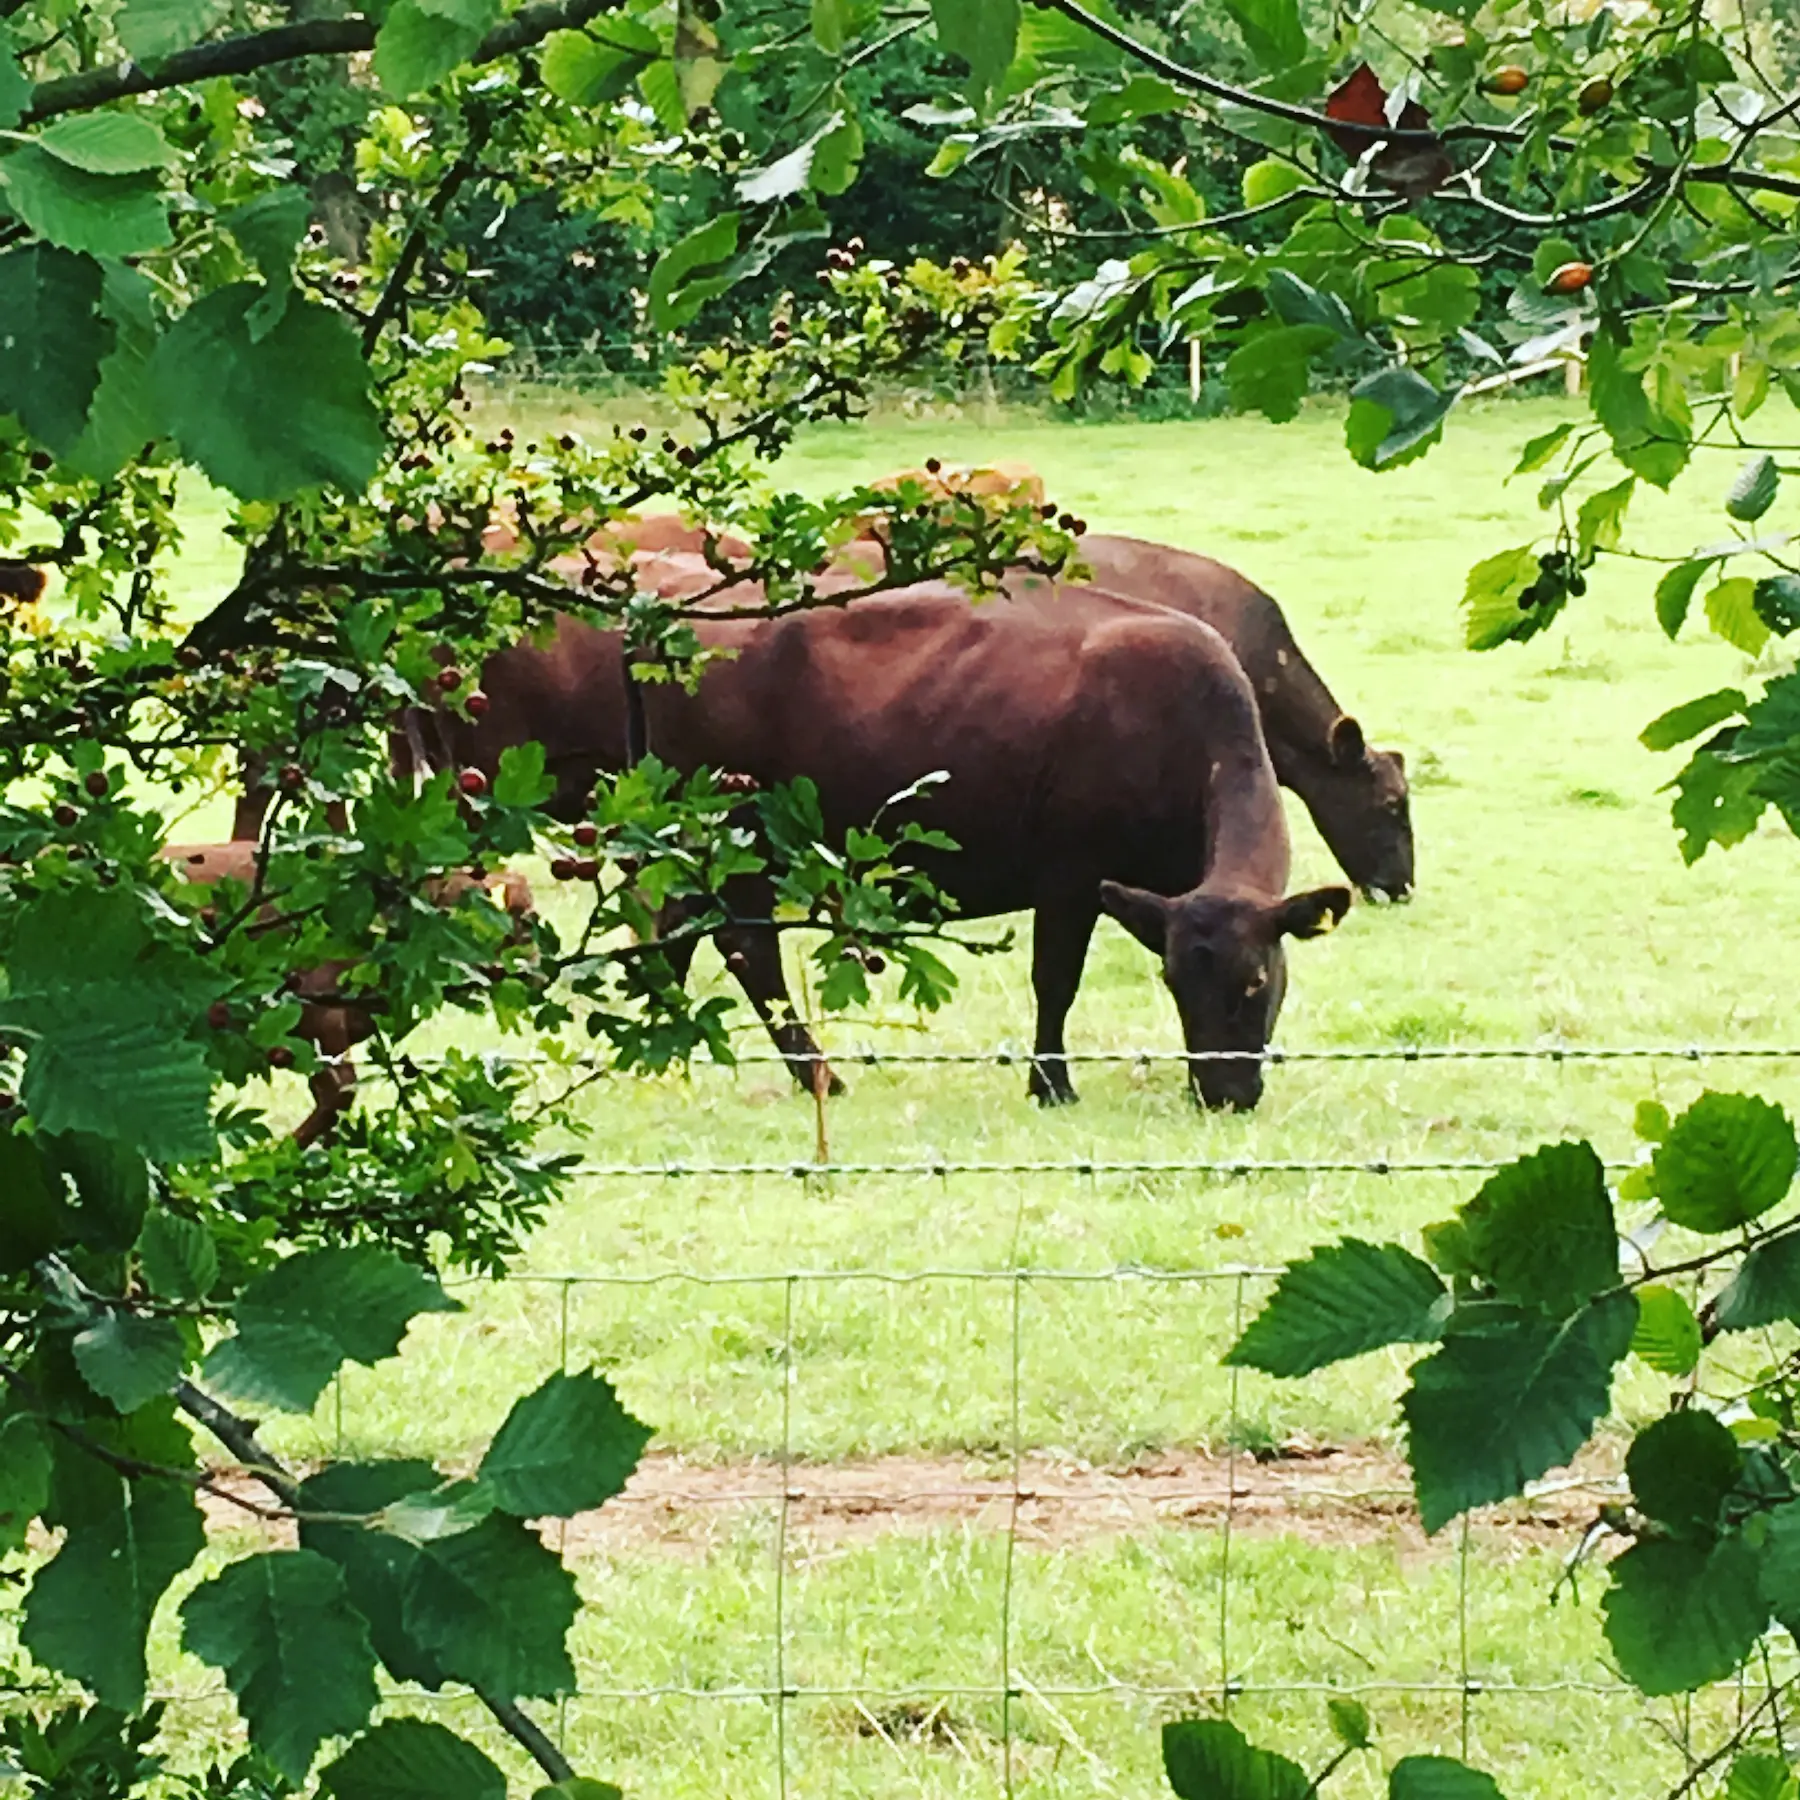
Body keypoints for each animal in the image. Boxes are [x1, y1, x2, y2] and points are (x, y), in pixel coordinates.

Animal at [417, 576, 1353, 1108]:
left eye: (1255, 981)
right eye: (1179, 982)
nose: (1225, 1096)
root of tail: (663, 624)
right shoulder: (1069, 870)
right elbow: (1056, 981)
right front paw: (1050, 1084)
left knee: (673, 936)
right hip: (738, 828)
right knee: (746, 949)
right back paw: (816, 1073)